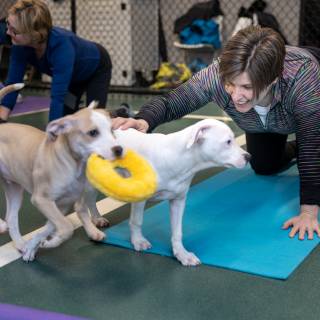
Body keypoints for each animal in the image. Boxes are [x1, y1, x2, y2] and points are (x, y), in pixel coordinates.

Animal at [0, 84, 122, 260]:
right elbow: (66, 227)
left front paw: (35, 245)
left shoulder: (61, 205)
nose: (119, 149)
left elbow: (51, 227)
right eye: (93, 132)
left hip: (14, 188)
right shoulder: (41, 200)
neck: (73, 164)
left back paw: (21, 244)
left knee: (11, 218)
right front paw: (48, 243)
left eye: (112, 129)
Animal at [112, 119, 250, 266]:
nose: (249, 156)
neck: (178, 158)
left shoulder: (178, 201)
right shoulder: (140, 198)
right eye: (228, 142)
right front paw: (138, 241)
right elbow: (136, 221)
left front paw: (182, 254)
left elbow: (177, 232)